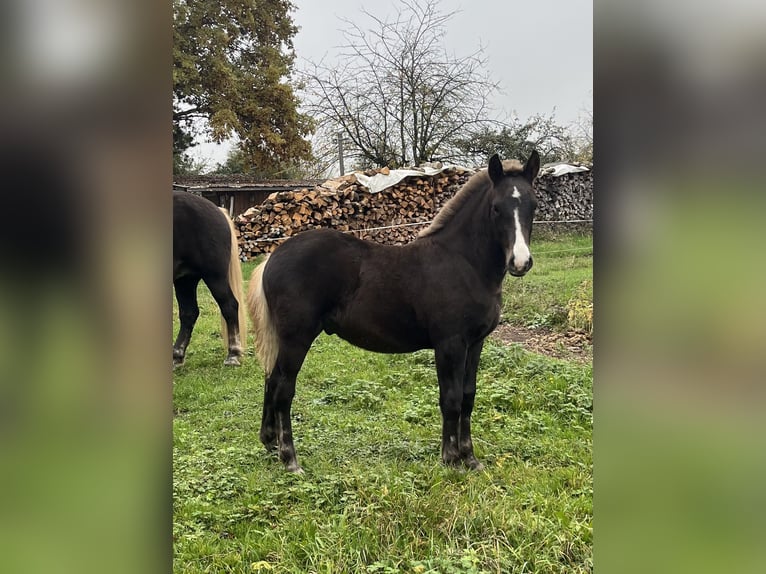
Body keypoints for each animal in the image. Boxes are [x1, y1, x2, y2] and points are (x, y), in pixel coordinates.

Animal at [173, 191, 246, 366]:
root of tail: (218, 210)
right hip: (185, 279)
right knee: (189, 313)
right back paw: (177, 355)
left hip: (214, 276)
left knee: (229, 306)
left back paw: (233, 354)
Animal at [249, 152, 544, 472]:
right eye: (496, 208)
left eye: (533, 205)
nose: (520, 262)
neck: (464, 263)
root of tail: (272, 257)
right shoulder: (450, 344)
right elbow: (450, 398)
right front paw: (451, 459)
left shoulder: (475, 343)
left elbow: (468, 396)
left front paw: (470, 458)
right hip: (297, 338)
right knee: (283, 389)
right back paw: (290, 459)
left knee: (271, 379)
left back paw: (270, 441)